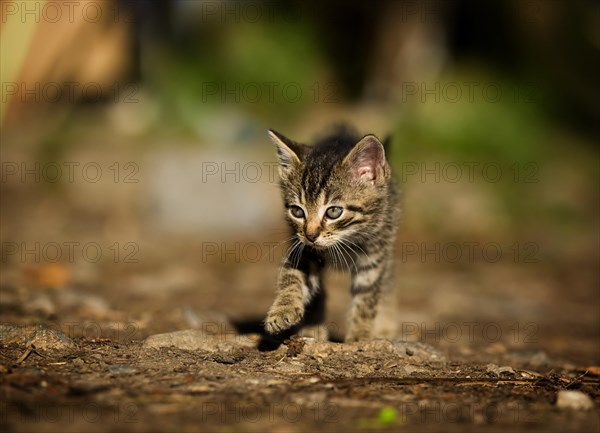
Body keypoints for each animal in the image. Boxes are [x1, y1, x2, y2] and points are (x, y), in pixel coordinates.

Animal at [264, 125, 398, 340]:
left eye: (334, 211)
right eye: (297, 211)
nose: (310, 235)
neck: (346, 240)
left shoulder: (374, 257)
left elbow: (367, 298)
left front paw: (359, 336)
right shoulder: (303, 250)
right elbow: (291, 277)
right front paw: (283, 310)